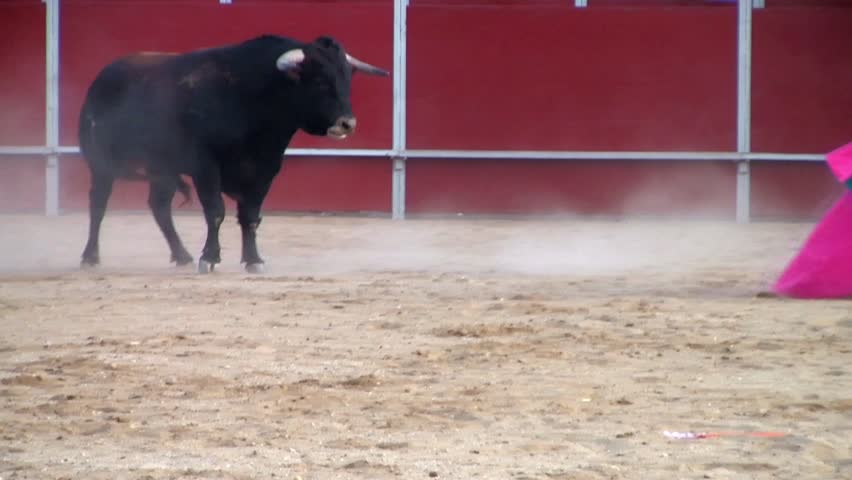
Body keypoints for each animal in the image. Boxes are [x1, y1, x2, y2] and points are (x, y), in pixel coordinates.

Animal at [77, 35, 388, 273]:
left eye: (347, 81)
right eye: (321, 81)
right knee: (98, 203)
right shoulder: (205, 166)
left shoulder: (266, 168)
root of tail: (104, 76)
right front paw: (209, 258)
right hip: (101, 164)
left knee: (159, 206)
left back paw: (181, 255)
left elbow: (250, 215)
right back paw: (90, 256)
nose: (347, 123)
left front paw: (253, 260)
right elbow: (215, 211)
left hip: (162, 170)